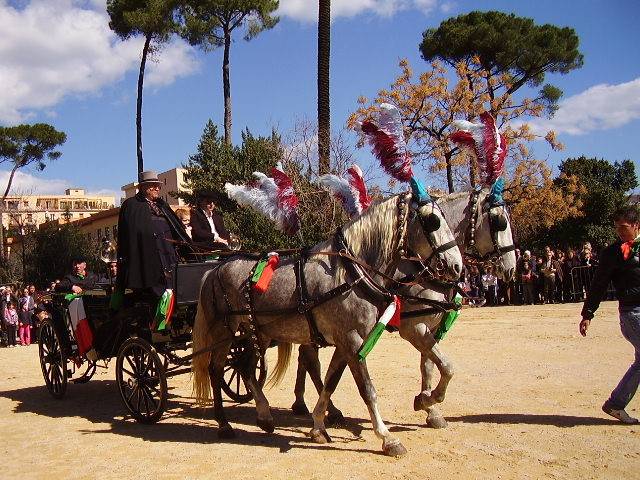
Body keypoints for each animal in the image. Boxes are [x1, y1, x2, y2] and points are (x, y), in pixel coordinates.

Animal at [192, 192, 462, 458]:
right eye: (432, 221)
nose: (457, 266)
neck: (351, 273)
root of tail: (215, 269)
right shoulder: (355, 341)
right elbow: (367, 390)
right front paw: (387, 437)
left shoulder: (347, 343)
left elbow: (331, 382)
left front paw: (319, 426)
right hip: (225, 331)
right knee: (216, 370)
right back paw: (224, 424)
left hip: (257, 333)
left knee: (246, 367)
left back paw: (265, 416)